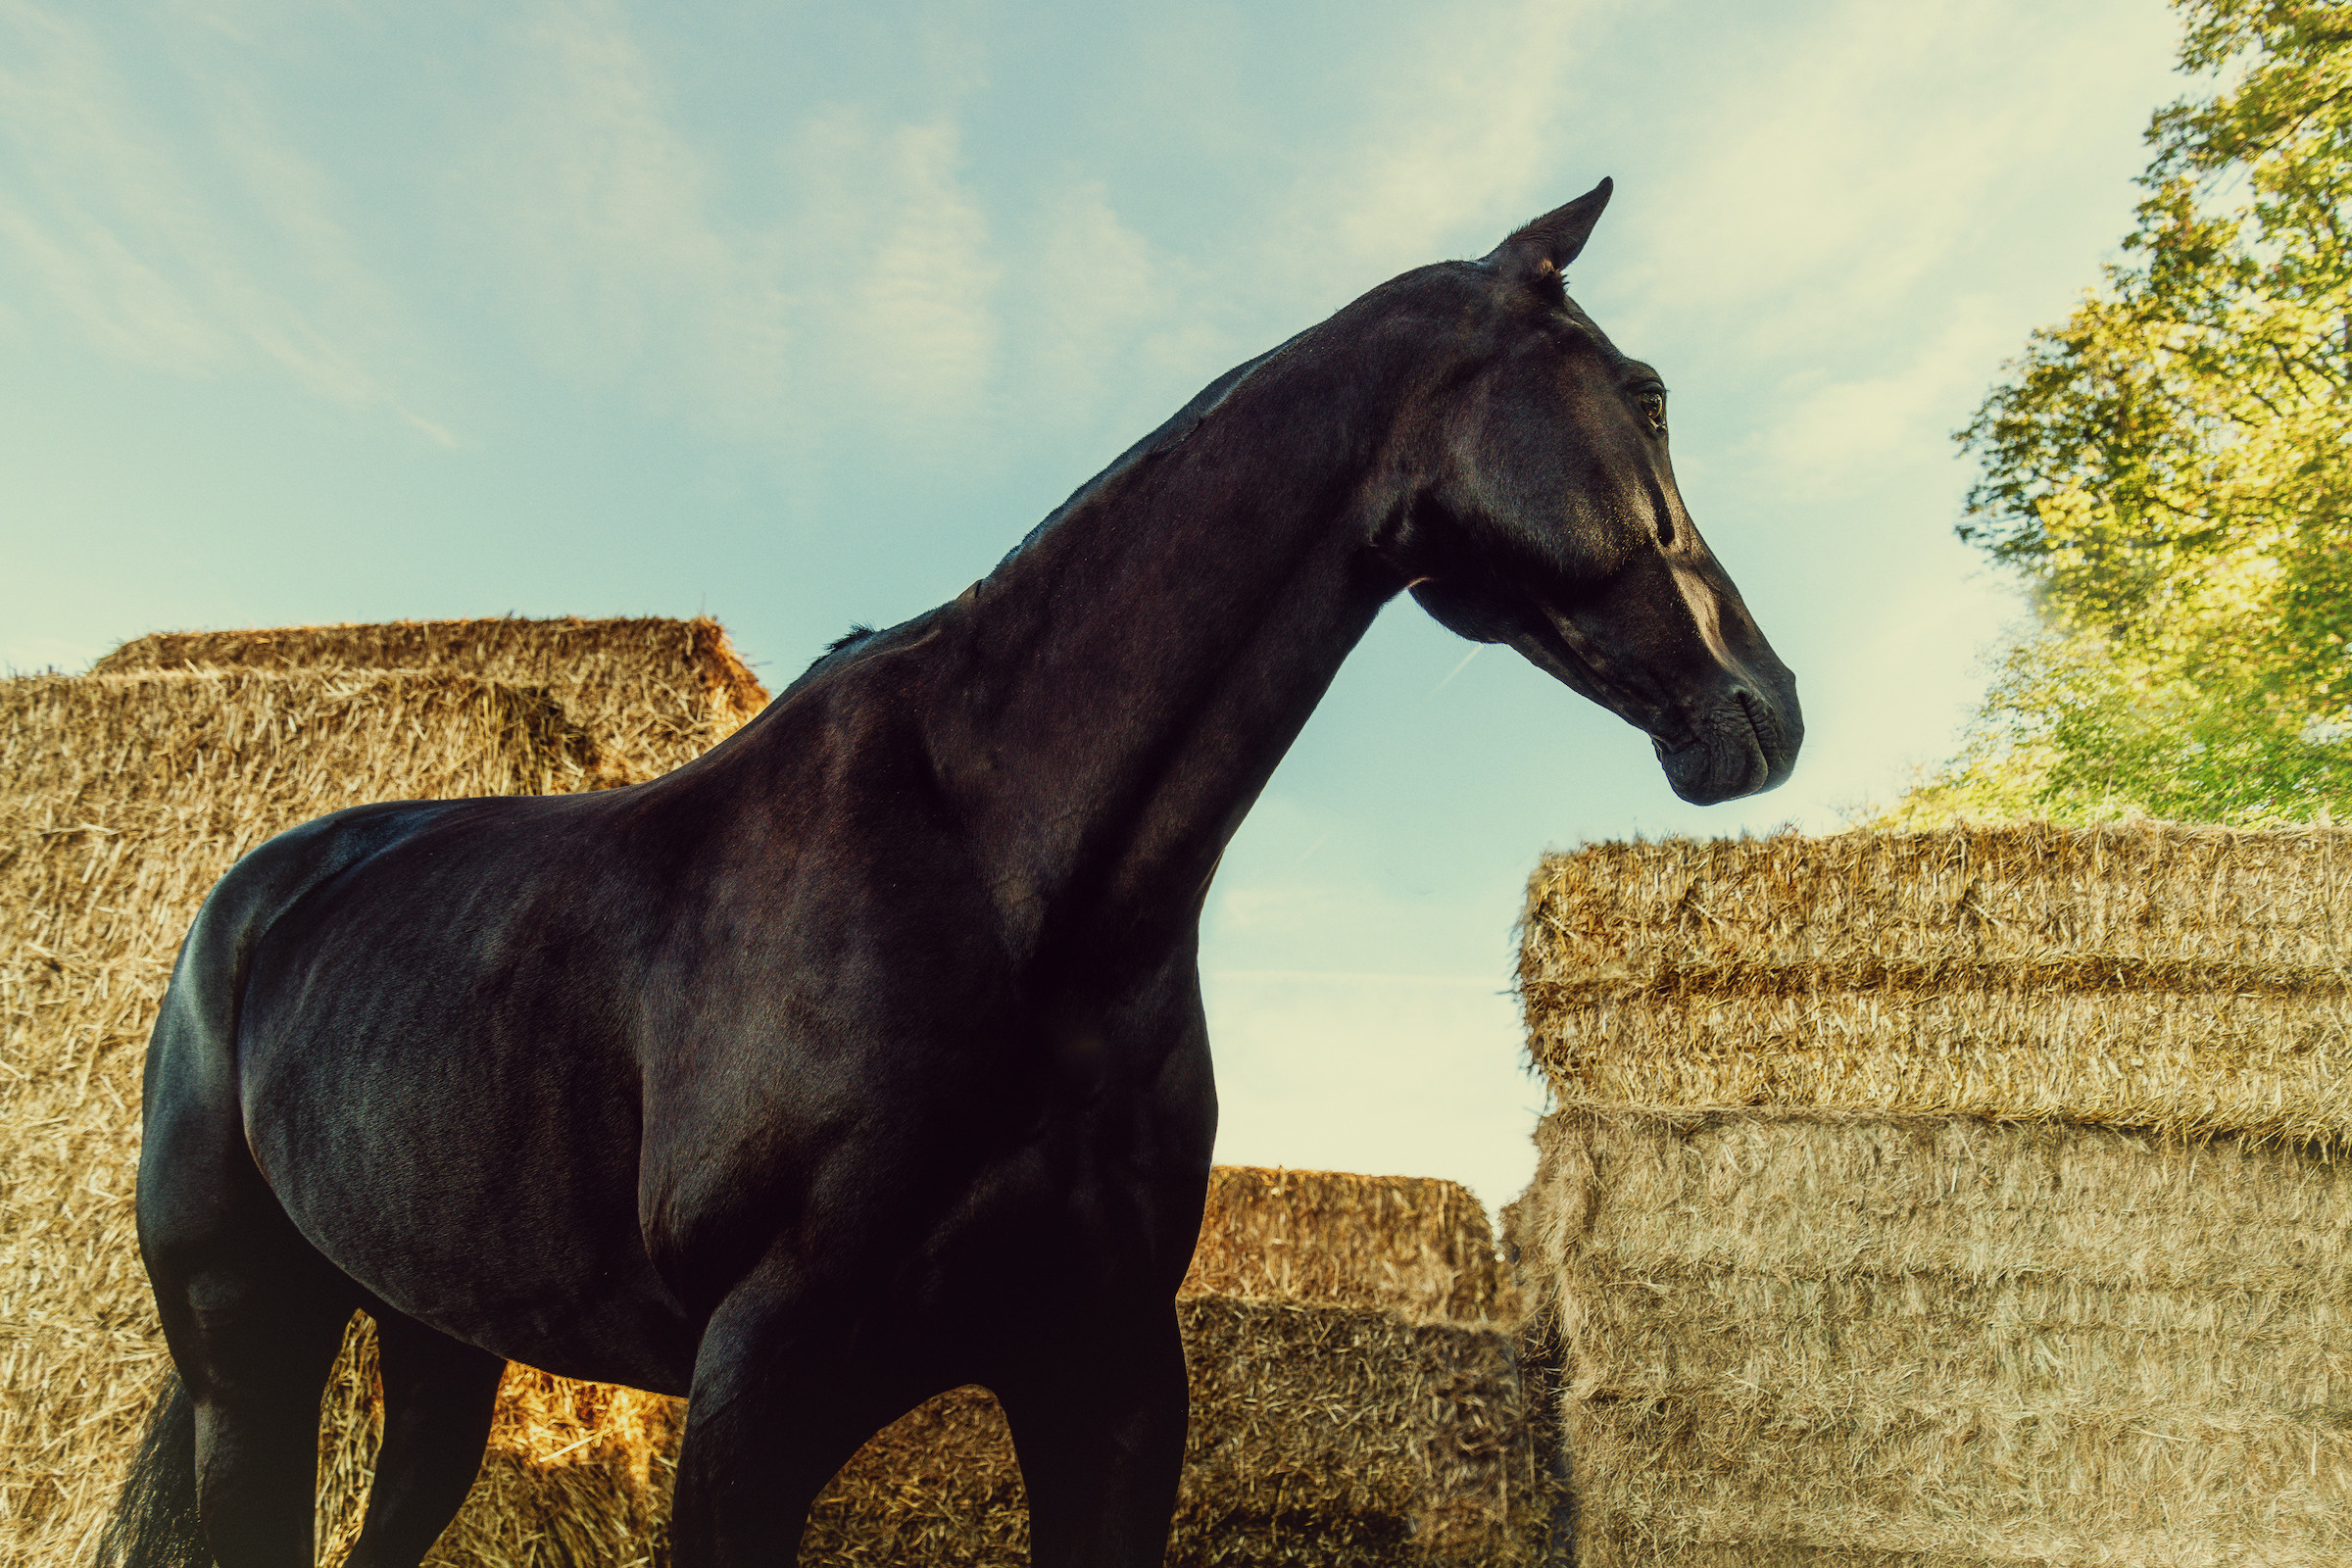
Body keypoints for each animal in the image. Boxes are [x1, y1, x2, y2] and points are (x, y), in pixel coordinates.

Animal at [105, 177, 1799, 1568]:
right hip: (251, 1355)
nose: (1766, 707)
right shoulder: (754, 1394)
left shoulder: (1107, 1377)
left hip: (436, 1342)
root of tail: (251, 905)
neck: (1012, 877)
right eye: (1646, 395)